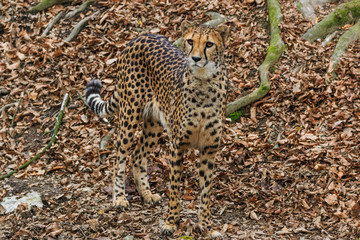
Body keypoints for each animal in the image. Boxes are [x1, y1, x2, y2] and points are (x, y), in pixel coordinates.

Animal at [85, 21, 228, 238]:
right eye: (190, 41)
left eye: (209, 44)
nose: (195, 58)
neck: (203, 82)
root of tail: (141, 36)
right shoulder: (177, 146)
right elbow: (175, 188)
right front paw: (170, 222)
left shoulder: (209, 150)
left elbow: (206, 192)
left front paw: (208, 226)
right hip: (130, 114)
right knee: (120, 155)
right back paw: (119, 198)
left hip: (154, 124)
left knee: (138, 155)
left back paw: (147, 194)